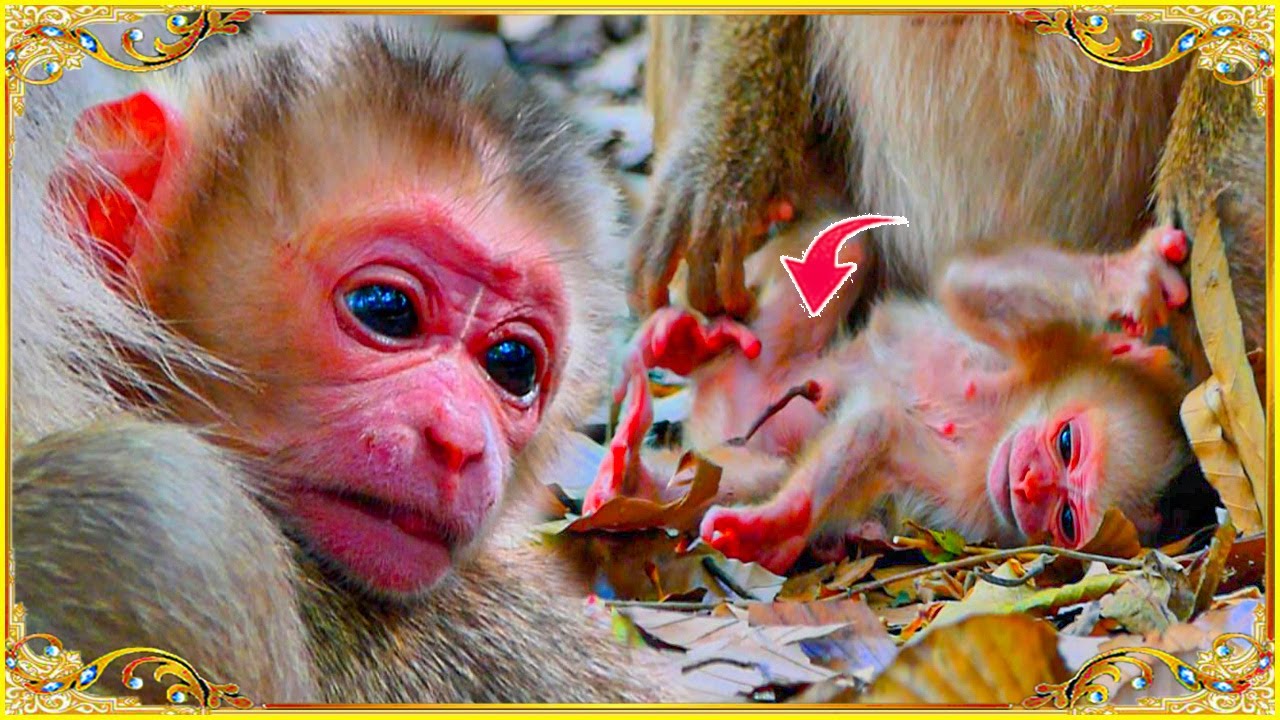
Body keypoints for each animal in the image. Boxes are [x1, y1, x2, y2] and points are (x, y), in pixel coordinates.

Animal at [586, 221, 1194, 575]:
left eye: (1067, 519)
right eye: (1066, 442)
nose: (1029, 482)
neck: (1000, 424)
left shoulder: (974, 506)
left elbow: (881, 430)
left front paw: (782, 525)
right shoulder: (1048, 352)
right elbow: (965, 284)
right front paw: (1125, 279)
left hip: (735, 429)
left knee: (753, 470)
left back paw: (639, 482)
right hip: (761, 352)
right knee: (849, 246)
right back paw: (686, 343)